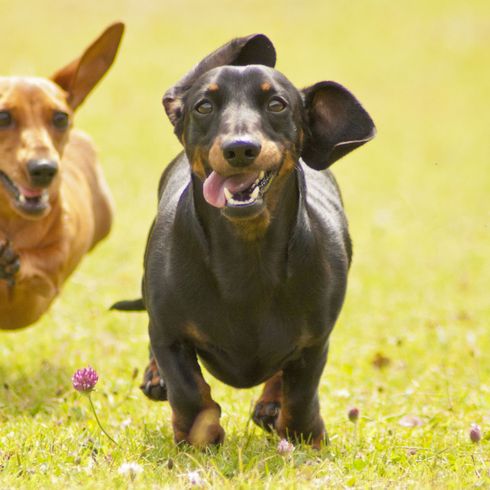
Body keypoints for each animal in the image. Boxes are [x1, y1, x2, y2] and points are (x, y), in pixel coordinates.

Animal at [0, 23, 124, 330]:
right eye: (3, 117)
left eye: (60, 118)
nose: (44, 169)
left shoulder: (48, 282)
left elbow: (39, 264)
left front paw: (12, 260)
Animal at [115, 34, 376, 448]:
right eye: (204, 106)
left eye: (277, 104)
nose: (240, 149)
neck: (246, 257)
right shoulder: (168, 333)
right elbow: (188, 390)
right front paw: (199, 435)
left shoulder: (315, 341)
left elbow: (300, 391)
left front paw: (303, 434)